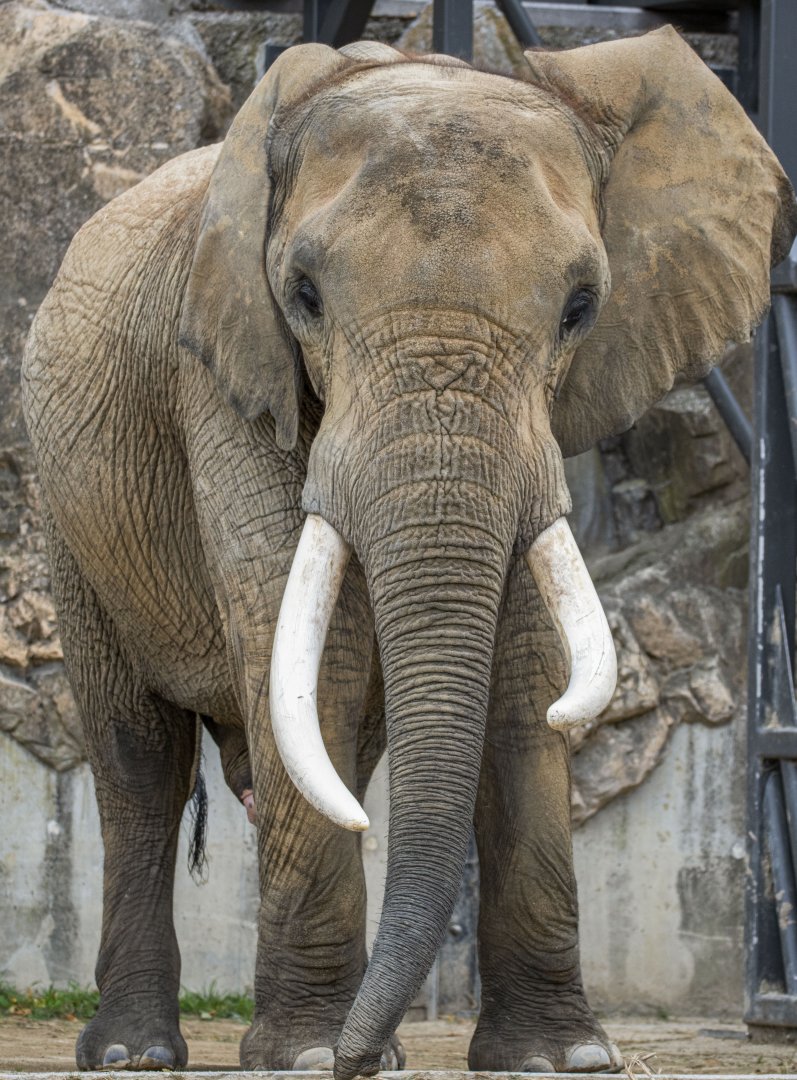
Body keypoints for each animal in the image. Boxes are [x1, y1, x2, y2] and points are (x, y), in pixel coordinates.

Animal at [21, 26, 796, 1078]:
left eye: (580, 307)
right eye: (303, 295)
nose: (353, 1056)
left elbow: (522, 672)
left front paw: (556, 1059)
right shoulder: (220, 374)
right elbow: (316, 655)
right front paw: (311, 1056)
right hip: (72, 513)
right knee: (139, 759)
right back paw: (139, 1053)